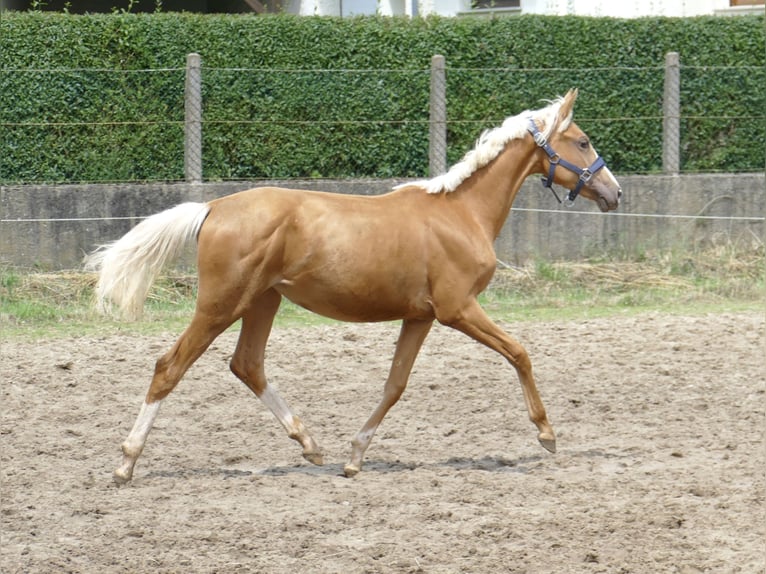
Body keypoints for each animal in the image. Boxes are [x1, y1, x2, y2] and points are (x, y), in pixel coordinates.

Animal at [85, 91, 624, 486]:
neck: (461, 213)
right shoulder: (457, 308)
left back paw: (310, 445)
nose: (615, 193)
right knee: (169, 367)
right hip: (222, 304)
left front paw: (355, 457)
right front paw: (547, 434)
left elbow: (395, 385)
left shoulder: (420, 316)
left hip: (263, 300)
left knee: (247, 365)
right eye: (582, 142)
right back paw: (126, 463)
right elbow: (519, 352)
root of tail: (212, 207)